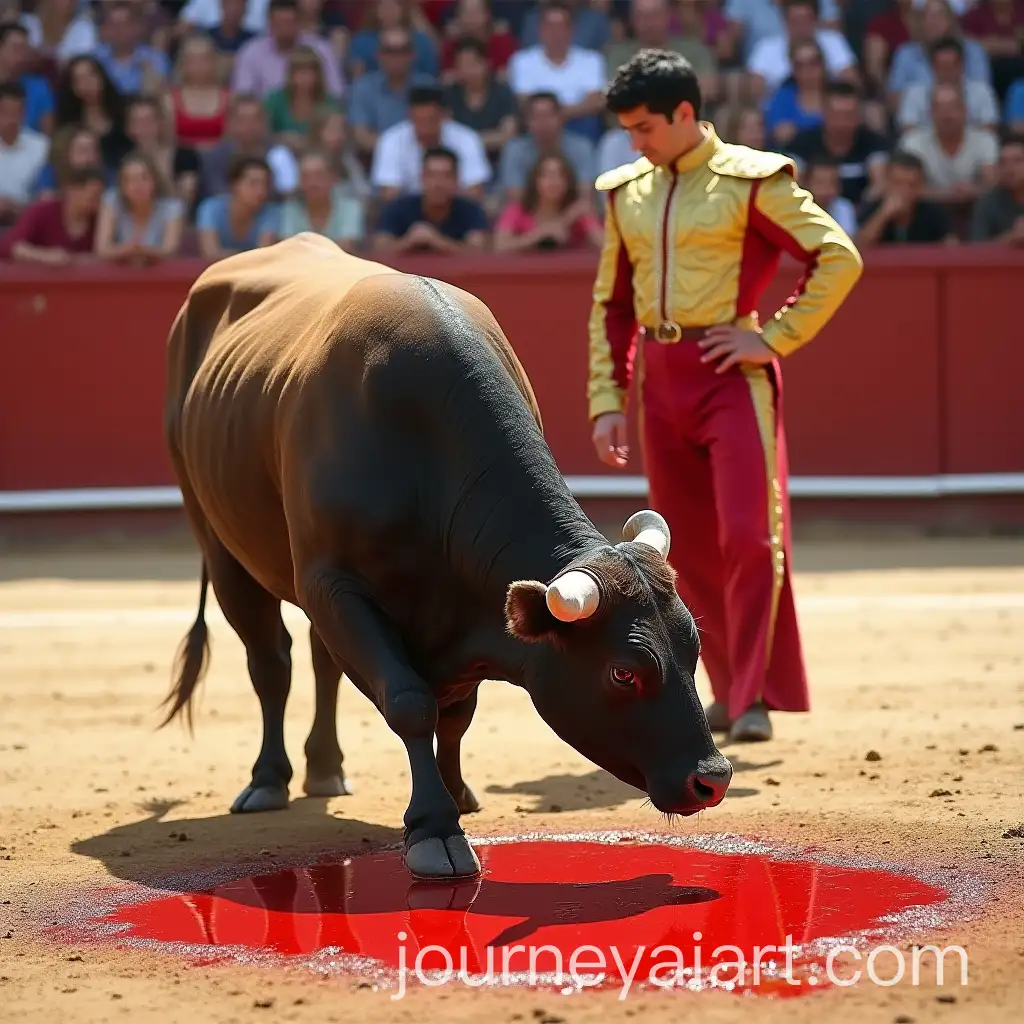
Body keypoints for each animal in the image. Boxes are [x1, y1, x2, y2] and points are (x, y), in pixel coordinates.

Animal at [161, 232, 733, 880]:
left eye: (693, 648)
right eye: (623, 671)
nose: (712, 779)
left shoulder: (466, 613)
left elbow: (456, 712)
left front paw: (457, 793)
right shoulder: (334, 584)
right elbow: (411, 702)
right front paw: (435, 829)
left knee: (319, 659)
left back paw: (326, 768)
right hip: (222, 548)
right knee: (270, 662)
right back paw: (268, 780)